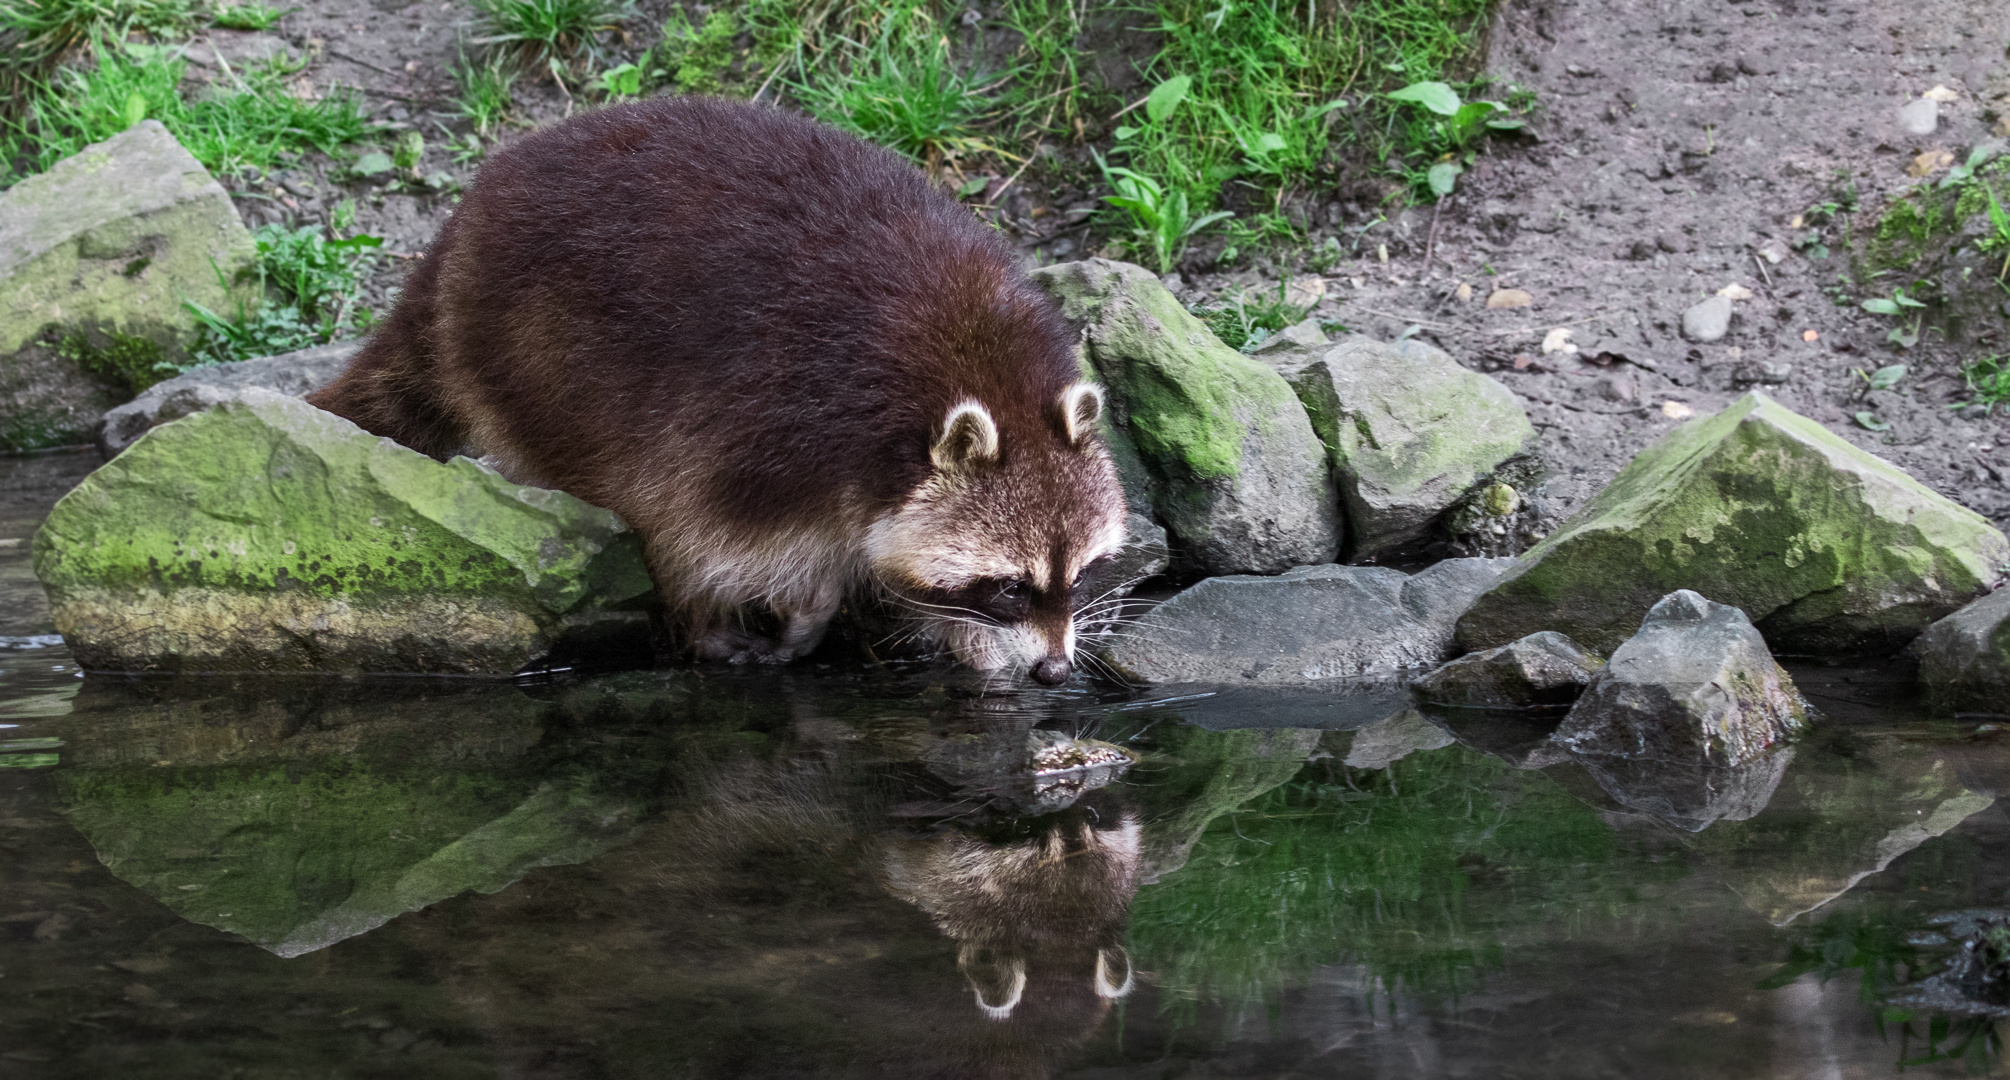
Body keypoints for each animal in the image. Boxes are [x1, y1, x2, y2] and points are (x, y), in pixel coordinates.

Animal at [309, 94, 1133, 683]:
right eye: (1010, 587)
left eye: (1082, 575)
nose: (1055, 671)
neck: (981, 364)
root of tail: (457, 236)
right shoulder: (764, 422)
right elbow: (702, 535)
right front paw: (784, 615)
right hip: (537, 356)